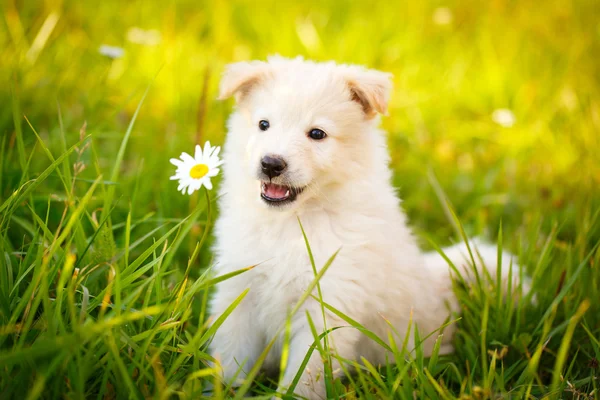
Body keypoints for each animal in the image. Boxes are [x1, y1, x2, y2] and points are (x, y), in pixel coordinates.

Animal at [211, 57, 524, 400]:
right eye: (263, 125)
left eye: (317, 134)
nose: (271, 163)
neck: (294, 221)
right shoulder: (239, 291)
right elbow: (230, 353)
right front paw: (221, 389)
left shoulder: (328, 304)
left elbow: (305, 373)